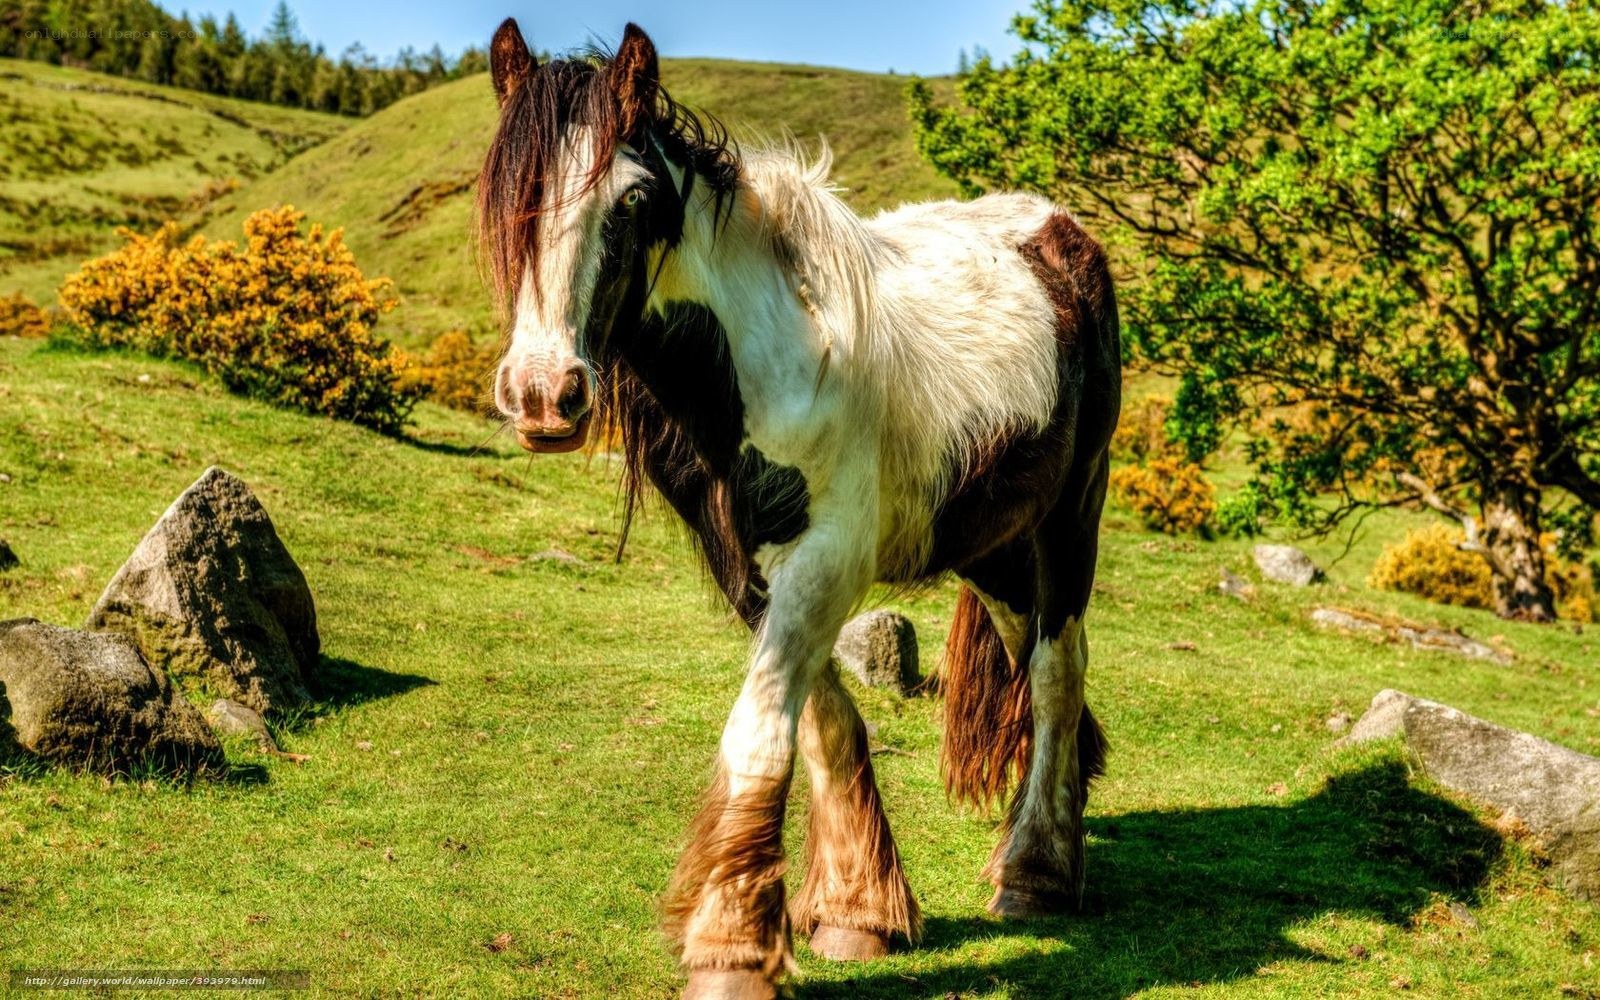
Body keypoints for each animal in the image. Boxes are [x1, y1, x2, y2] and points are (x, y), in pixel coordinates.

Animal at [476, 20, 1121, 999]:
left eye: (632, 199)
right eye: (509, 191)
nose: (545, 395)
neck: (763, 360)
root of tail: (1058, 229)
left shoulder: (825, 561)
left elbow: (760, 732)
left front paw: (731, 949)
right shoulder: (749, 567)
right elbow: (821, 723)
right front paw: (858, 911)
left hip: (1068, 521)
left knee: (1055, 672)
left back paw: (1036, 873)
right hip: (994, 544)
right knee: (1030, 660)